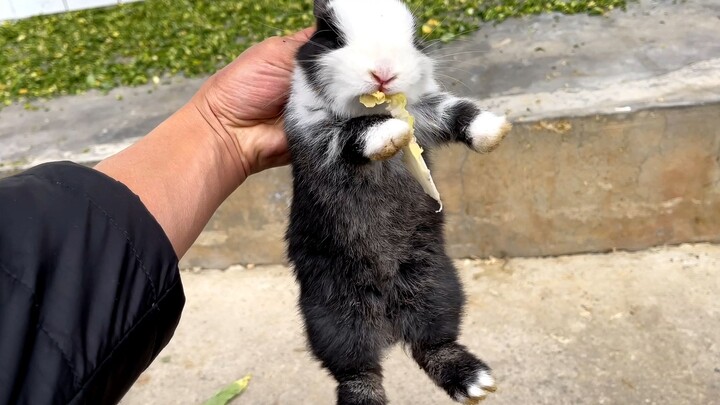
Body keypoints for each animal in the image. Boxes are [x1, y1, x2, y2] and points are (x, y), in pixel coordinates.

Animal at [283, 0, 511, 403]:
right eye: (331, 35)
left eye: (414, 35)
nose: (384, 74)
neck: (371, 108)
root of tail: (388, 319)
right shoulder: (318, 134)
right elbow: (354, 134)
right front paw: (392, 133)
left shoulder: (428, 111)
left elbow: (457, 112)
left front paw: (494, 131)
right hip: (332, 314)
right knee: (358, 371)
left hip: (436, 288)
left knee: (432, 345)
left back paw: (474, 381)